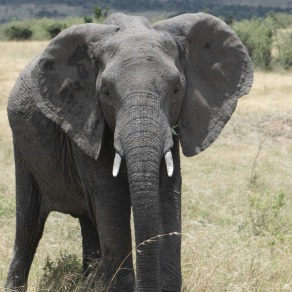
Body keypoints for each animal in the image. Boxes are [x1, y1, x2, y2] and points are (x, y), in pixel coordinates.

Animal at [5, 12, 252, 292]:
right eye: (106, 92)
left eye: (176, 90)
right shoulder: (85, 119)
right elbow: (112, 200)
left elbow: (167, 195)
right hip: (22, 147)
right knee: (30, 224)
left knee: (87, 220)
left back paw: (90, 283)